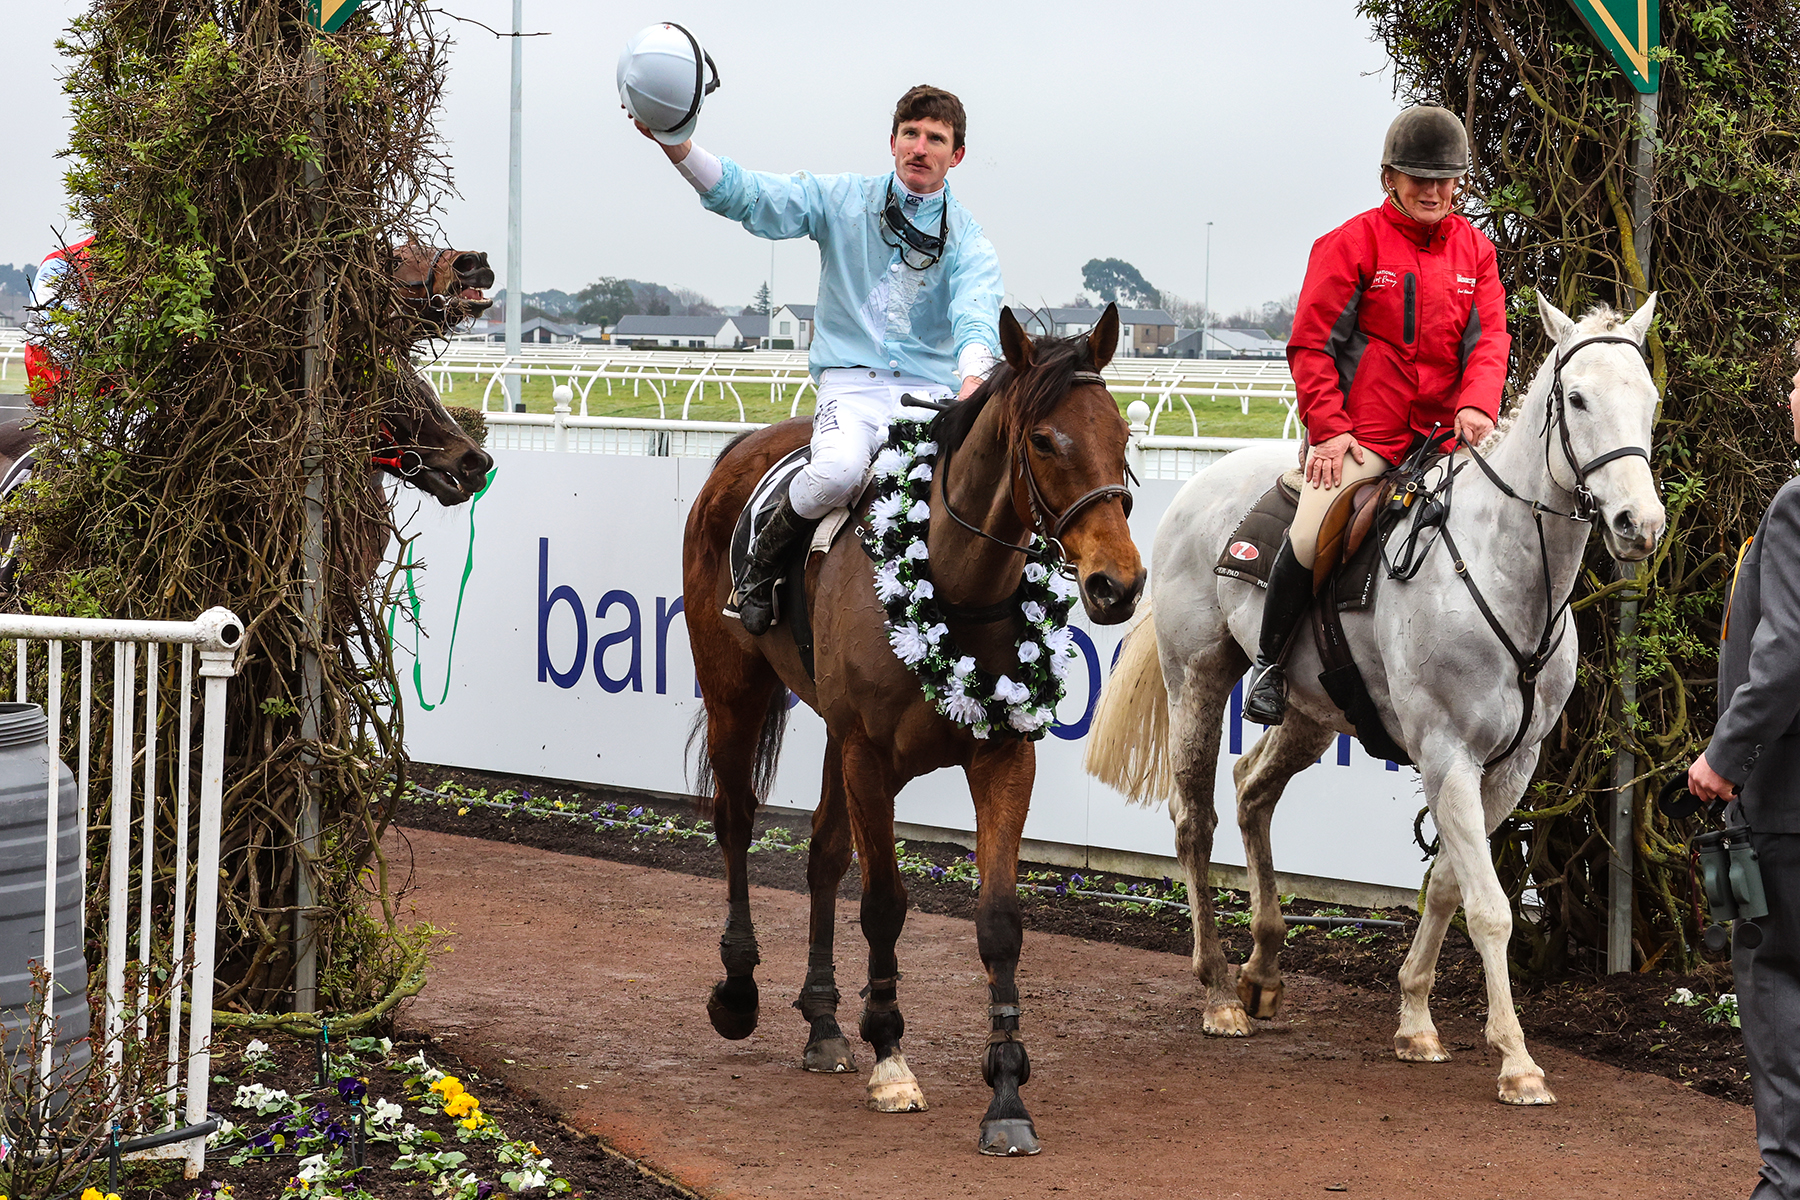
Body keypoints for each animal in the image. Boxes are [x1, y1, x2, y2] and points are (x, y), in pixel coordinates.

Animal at [680, 305, 1144, 1158]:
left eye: (1122, 435)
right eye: (1043, 440)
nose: (1117, 585)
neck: (954, 580)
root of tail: (739, 449)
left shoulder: (1002, 755)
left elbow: (998, 920)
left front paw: (1005, 1091)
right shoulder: (869, 755)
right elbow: (884, 903)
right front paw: (891, 1057)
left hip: (829, 728)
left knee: (824, 853)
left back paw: (824, 1023)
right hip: (735, 686)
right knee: (735, 821)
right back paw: (739, 988)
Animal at [1072, 293, 1663, 1108]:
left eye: (1650, 400)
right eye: (1577, 398)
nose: (1641, 524)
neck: (1499, 568)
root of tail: (1200, 486)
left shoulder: (1509, 769)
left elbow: (1446, 886)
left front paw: (1415, 1016)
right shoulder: (1448, 754)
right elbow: (1489, 907)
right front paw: (1516, 1059)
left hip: (1311, 714)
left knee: (1252, 792)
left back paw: (1262, 968)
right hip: (1196, 679)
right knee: (1195, 822)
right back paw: (1220, 991)